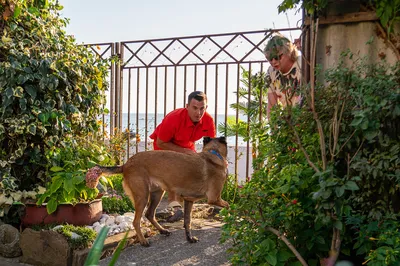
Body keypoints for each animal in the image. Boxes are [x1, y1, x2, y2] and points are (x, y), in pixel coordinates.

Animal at [86, 136, 230, 246]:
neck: (213, 153)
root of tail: (126, 164)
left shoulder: (189, 200)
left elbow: (187, 221)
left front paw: (189, 238)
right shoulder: (215, 198)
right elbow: (228, 205)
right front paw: (231, 217)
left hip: (157, 194)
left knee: (149, 214)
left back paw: (162, 230)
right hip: (143, 196)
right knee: (136, 221)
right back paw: (143, 241)